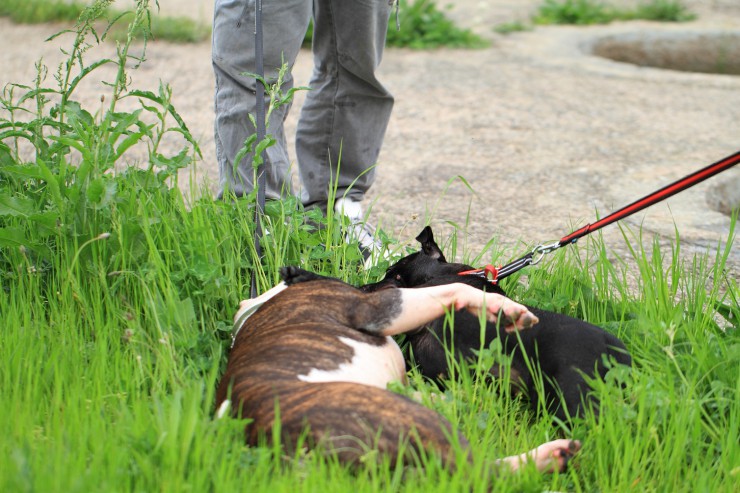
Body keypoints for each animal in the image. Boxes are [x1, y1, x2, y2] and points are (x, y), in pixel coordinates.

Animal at [216, 266, 580, 472]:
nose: (371, 283)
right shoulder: (382, 307)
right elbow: (456, 289)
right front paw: (503, 308)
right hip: (412, 421)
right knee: (481, 473)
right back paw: (552, 455)